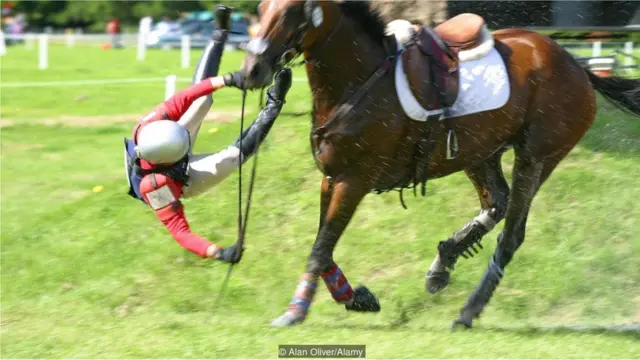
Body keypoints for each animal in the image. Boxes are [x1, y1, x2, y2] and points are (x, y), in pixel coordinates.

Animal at [239, 0, 640, 330]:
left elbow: (321, 248)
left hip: (536, 157)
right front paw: (356, 298)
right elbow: (323, 246)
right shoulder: (332, 178)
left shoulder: (355, 180)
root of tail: (578, 67)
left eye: (293, 11)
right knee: (496, 203)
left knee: (511, 234)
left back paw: (468, 310)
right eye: (260, 8)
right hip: (479, 153)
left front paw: (296, 311)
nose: (251, 70)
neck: (360, 79)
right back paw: (443, 263)